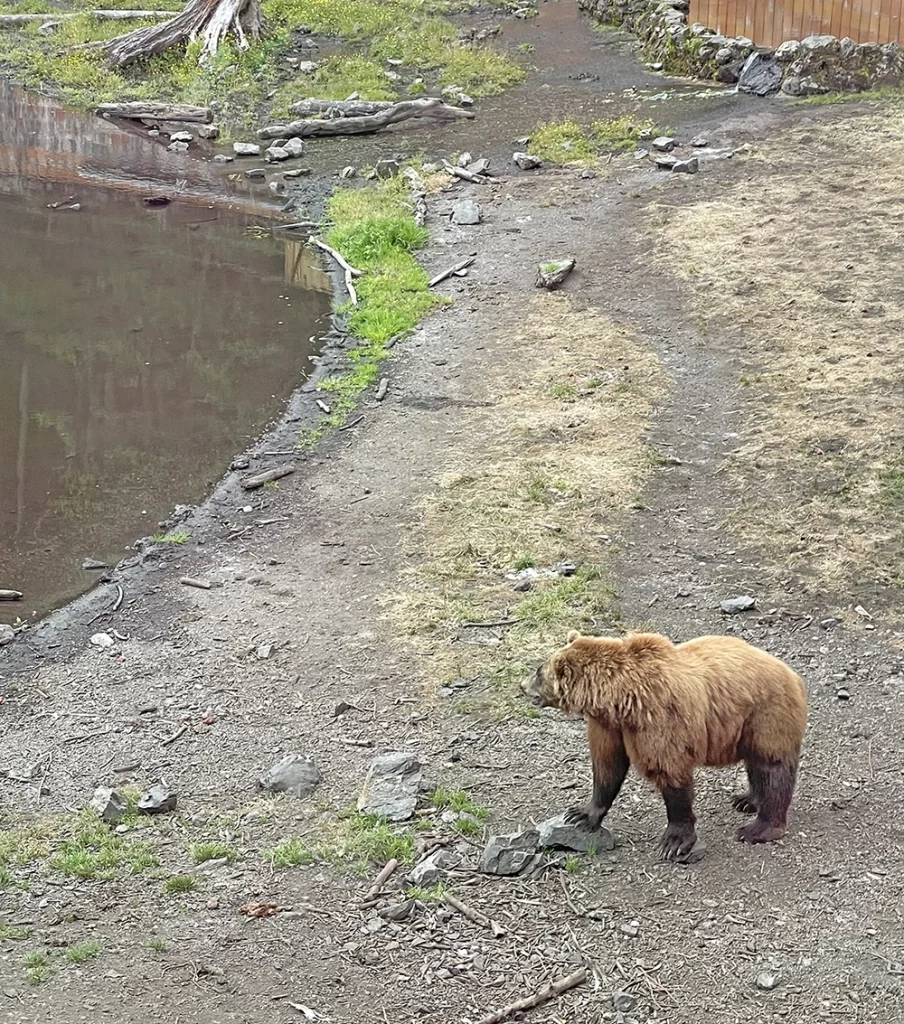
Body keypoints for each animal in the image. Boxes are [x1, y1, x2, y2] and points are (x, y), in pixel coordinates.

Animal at [528, 626, 810, 860]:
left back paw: (759, 828)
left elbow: (670, 772)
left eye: (538, 672)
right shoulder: (610, 727)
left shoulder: (660, 717)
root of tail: (793, 674)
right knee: (756, 765)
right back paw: (747, 800)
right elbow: (607, 766)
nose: (522, 685)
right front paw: (580, 814)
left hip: (765, 713)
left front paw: (674, 841)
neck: (620, 699)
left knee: (771, 766)